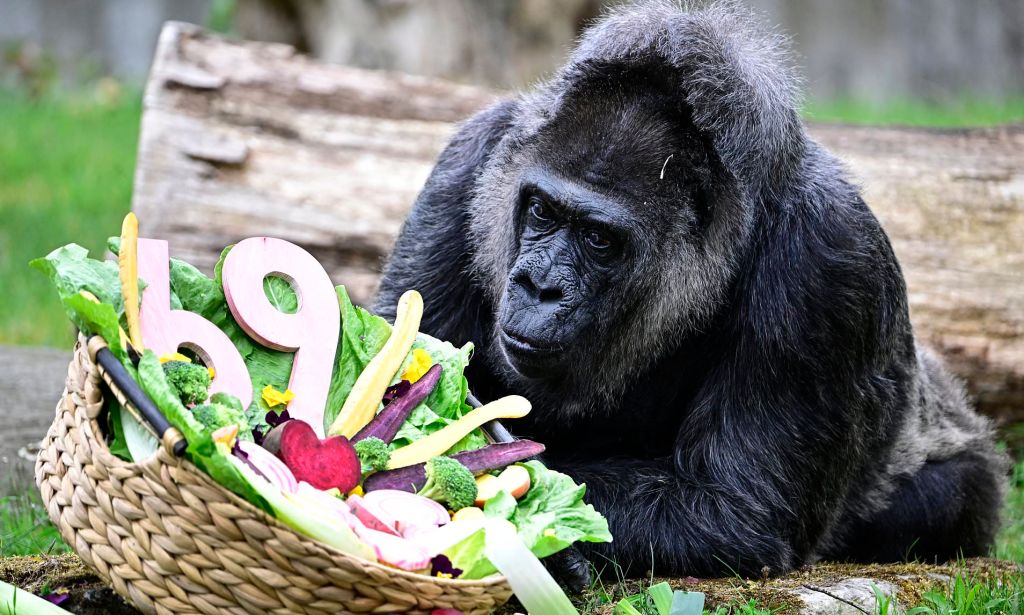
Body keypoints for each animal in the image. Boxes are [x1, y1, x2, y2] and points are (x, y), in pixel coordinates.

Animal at [373, 1, 1008, 581]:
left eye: (599, 239)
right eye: (542, 211)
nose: (539, 285)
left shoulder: (829, 258)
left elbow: (731, 510)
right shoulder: (470, 161)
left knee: (947, 497)